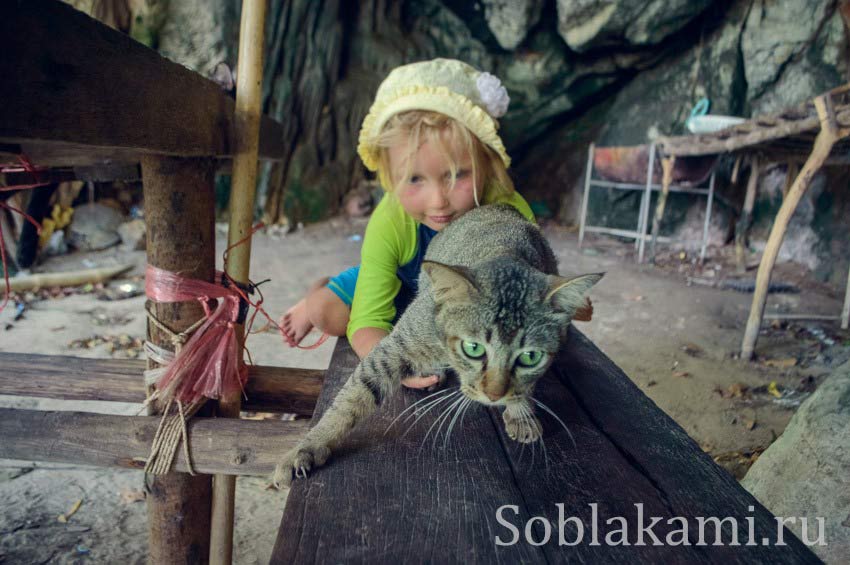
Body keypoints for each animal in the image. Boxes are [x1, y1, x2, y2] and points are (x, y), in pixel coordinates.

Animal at [274, 205, 600, 486]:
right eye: (473, 348)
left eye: (530, 357)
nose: (494, 395)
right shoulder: (395, 347)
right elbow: (351, 398)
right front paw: (307, 446)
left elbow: (528, 385)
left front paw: (521, 410)